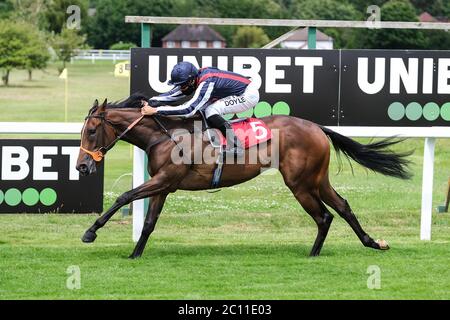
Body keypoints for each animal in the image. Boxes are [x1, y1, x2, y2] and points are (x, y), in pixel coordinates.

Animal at [74, 94, 412, 258]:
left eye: (91, 131)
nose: (81, 167)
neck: (165, 135)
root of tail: (316, 127)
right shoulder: (164, 186)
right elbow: (148, 223)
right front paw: (135, 254)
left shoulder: (164, 180)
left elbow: (124, 196)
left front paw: (90, 232)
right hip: (317, 179)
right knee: (341, 206)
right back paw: (372, 243)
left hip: (300, 183)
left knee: (324, 216)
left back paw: (314, 254)